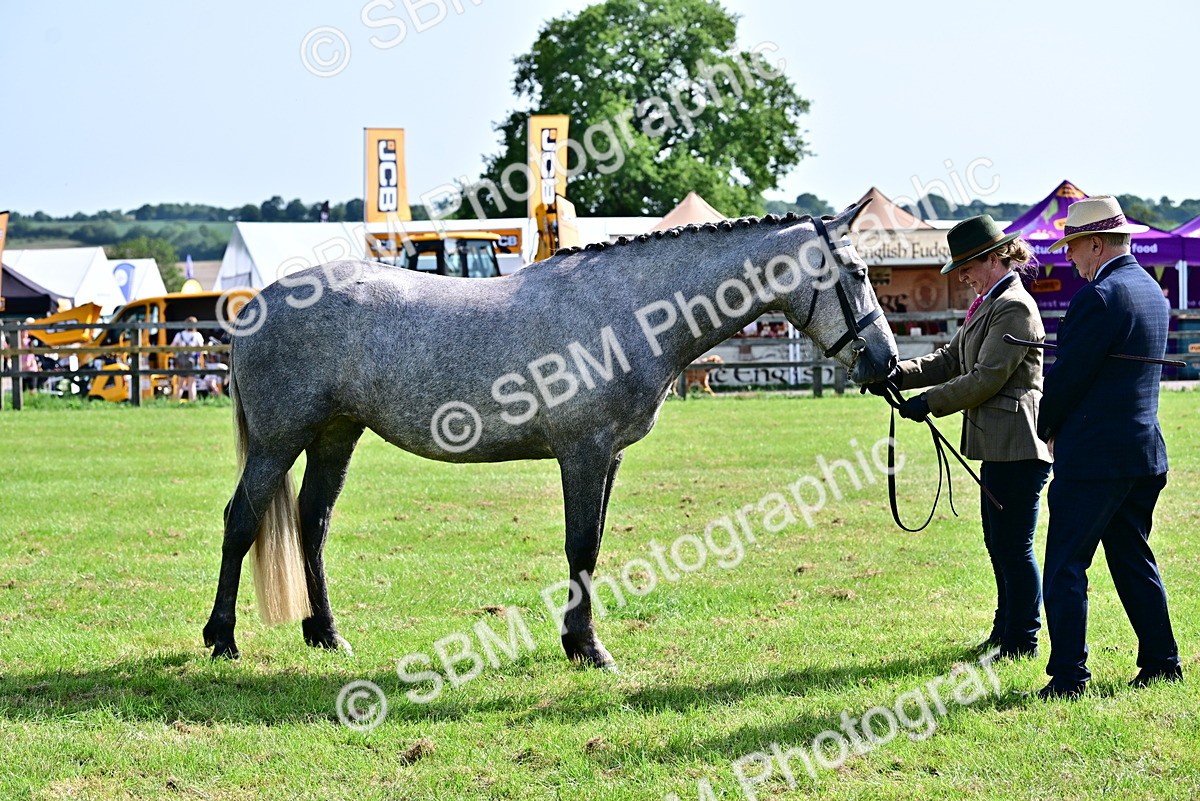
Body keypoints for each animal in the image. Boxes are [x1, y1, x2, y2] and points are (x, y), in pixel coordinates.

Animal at [202, 204, 898, 668]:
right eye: (859, 273)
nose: (886, 363)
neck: (626, 313)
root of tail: (255, 304)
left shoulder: (607, 458)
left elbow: (590, 549)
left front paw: (576, 641)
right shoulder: (583, 453)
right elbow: (581, 546)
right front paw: (588, 647)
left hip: (335, 436)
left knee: (312, 523)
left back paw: (325, 633)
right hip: (277, 442)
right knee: (242, 522)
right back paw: (222, 638)